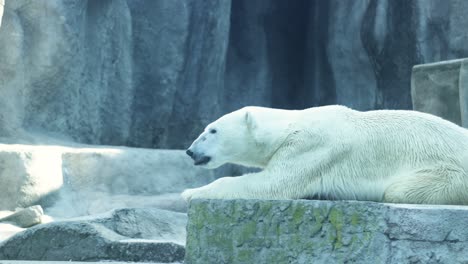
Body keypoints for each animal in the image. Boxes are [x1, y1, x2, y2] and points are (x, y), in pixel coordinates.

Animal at [181, 105, 468, 204]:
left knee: (399, 190)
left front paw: (189, 192)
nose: (190, 151)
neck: (289, 125)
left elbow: (271, 183)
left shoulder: (311, 147)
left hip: (451, 172)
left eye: (212, 130)